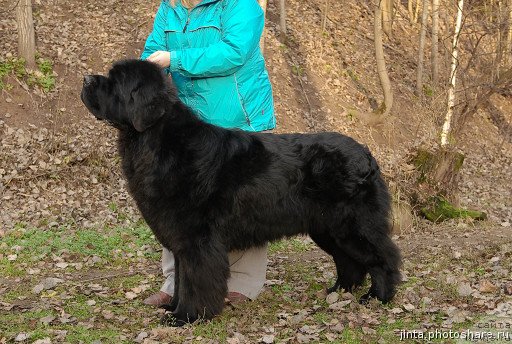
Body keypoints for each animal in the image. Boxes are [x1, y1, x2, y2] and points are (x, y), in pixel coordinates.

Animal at [80, 60, 402, 326]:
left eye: (114, 82)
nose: (86, 78)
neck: (155, 140)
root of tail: (366, 154)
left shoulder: (198, 240)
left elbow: (196, 281)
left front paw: (187, 317)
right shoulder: (181, 239)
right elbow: (182, 279)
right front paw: (173, 308)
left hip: (353, 226)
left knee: (383, 257)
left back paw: (378, 297)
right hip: (327, 228)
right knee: (349, 261)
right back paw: (338, 292)